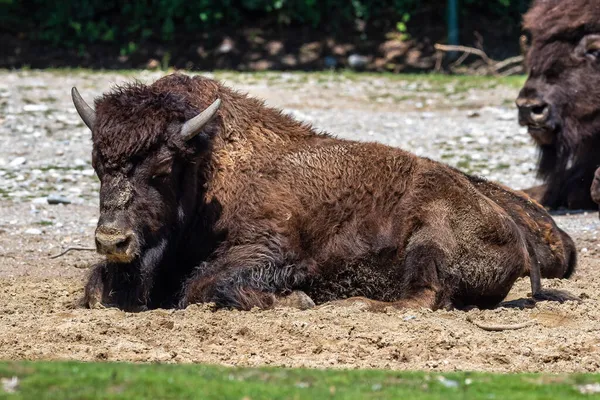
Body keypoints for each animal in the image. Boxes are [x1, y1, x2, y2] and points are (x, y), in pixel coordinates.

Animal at [72, 74, 580, 312]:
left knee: (425, 298)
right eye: (96, 165)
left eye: (162, 169)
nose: (112, 241)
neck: (211, 170)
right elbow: (97, 289)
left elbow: (199, 286)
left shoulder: (270, 249)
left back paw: (351, 304)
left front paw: (297, 300)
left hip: (428, 240)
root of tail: (514, 235)